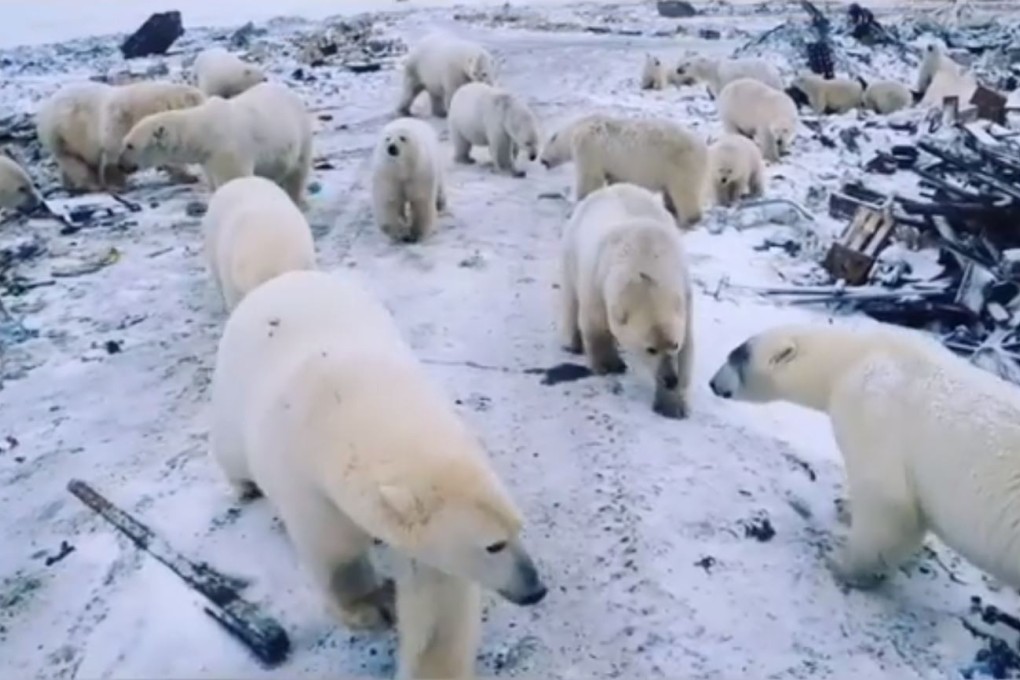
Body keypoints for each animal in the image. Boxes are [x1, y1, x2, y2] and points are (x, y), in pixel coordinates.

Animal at [117, 81, 312, 206]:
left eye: (129, 145)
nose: (120, 165)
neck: (204, 131)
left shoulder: (227, 151)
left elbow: (233, 179)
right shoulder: (208, 159)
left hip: (301, 134)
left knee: (297, 171)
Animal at [208, 268, 547, 676]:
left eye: (519, 528)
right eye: (493, 545)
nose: (535, 590)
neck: (351, 404)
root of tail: (282, 277)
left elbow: (437, 596)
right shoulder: (306, 482)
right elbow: (335, 552)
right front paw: (372, 607)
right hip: (234, 389)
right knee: (230, 449)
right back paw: (245, 486)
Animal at [539, 113, 708, 229]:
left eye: (545, 150)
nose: (541, 160)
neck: (576, 129)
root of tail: (702, 147)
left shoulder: (588, 148)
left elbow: (590, 178)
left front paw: (581, 202)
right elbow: (616, 179)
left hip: (680, 164)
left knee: (684, 193)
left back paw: (687, 220)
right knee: (671, 193)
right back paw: (671, 210)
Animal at [559, 183, 694, 419]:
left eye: (674, 344)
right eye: (650, 349)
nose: (670, 379)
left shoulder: (683, 291)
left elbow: (688, 347)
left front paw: (673, 405)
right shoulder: (598, 280)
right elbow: (595, 324)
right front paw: (608, 365)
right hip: (572, 250)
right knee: (571, 297)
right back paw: (574, 343)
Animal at [709, 322, 1020, 592]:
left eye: (735, 357)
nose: (712, 383)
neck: (854, 356)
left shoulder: (872, 410)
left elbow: (889, 504)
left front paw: (840, 564)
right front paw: (845, 507)